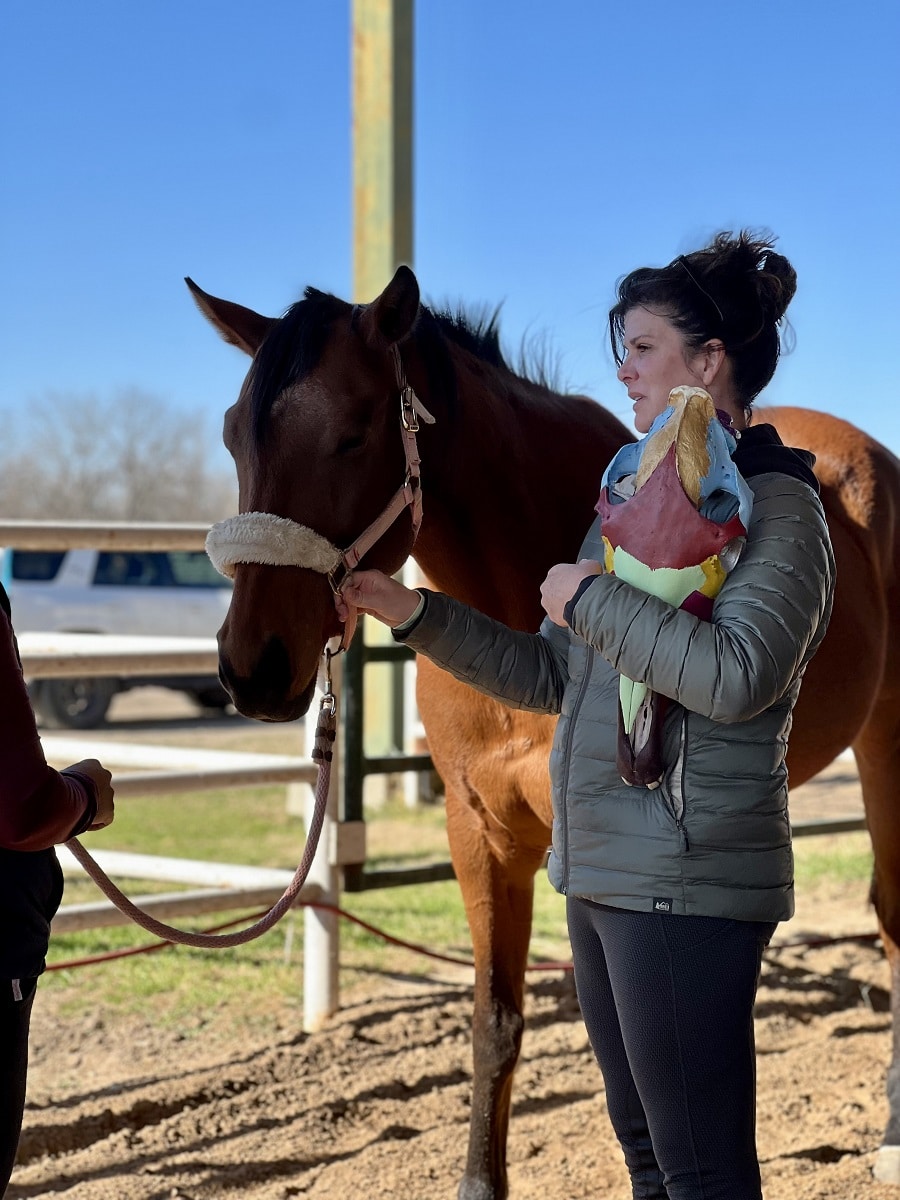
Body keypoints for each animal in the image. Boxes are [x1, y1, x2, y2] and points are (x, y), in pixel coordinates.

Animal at [188, 264, 900, 1198]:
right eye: (235, 437)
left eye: (352, 433)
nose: (253, 668)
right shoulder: (483, 834)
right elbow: (498, 1020)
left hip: (890, 741)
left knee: (895, 917)